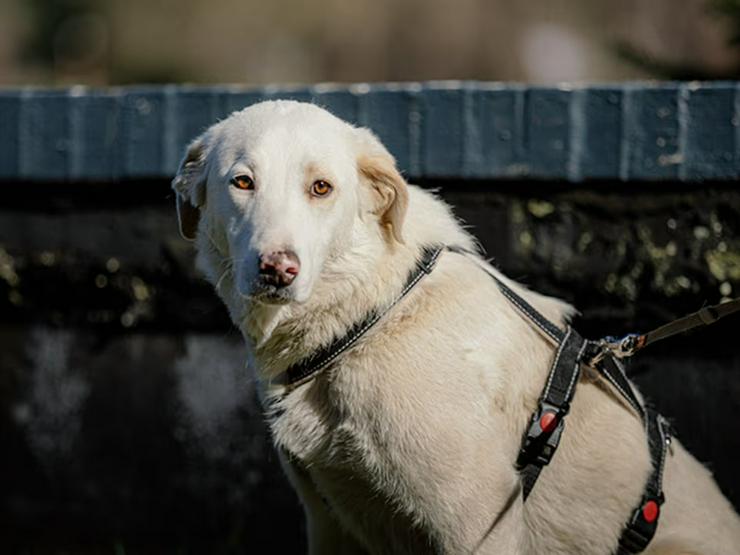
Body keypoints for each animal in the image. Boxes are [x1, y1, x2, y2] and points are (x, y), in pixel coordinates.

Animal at [173, 101, 740, 555]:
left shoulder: (479, 523)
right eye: (242, 182)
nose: (277, 268)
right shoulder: (331, 523)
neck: (374, 314)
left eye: (321, 188)